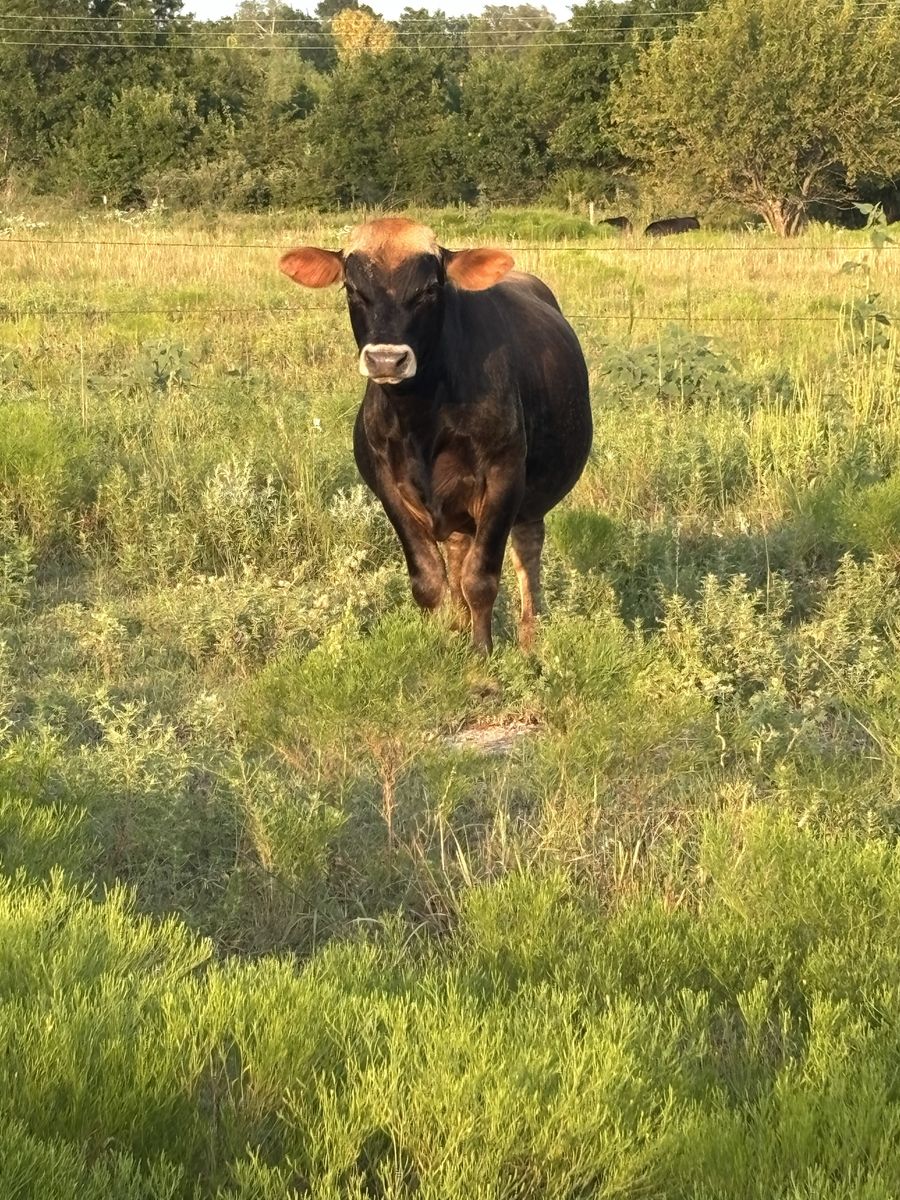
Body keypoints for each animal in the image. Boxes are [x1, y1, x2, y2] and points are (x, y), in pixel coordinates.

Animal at [279, 217, 592, 654]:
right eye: (352, 289)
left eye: (428, 289)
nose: (386, 359)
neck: (421, 420)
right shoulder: (387, 486)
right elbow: (428, 578)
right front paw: (440, 644)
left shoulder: (504, 478)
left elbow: (481, 579)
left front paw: (481, 654)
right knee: (459, 553)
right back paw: (460, 627)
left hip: (530, 500)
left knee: (526, 551)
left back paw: (530, 639)